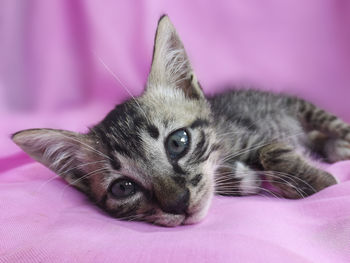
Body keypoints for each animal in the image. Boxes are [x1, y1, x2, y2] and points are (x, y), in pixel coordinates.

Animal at [10, 15, 350, 228]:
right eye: (123, 187)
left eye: (177, 142)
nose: (179, 203)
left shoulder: (250, 134)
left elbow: (272, 150)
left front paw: (317, 180)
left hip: (302, 106)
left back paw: (337, 146)